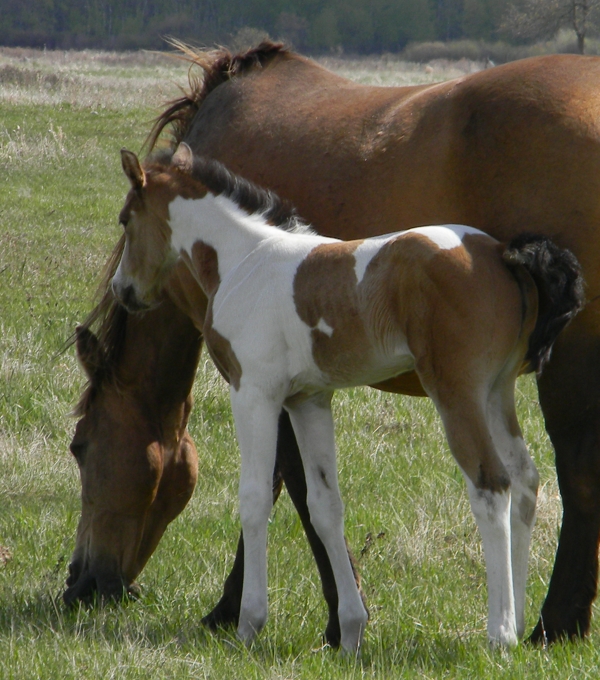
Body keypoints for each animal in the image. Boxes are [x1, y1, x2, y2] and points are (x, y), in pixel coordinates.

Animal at [67, 42, 600, 645]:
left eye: (81, 446)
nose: (80, 583)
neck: (246, 258)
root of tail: (506, 256)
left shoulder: (255, 393)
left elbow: (258, 496)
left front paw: (245, 619)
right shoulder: (307, 398)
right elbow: (324, 502)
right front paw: (348, 628)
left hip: (463, 390)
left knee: (499, 484)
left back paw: (511, 631)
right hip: (496, 391)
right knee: (527, 481)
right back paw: (522, 618)